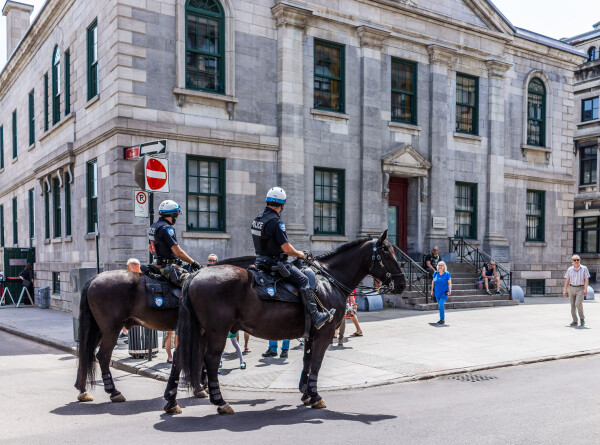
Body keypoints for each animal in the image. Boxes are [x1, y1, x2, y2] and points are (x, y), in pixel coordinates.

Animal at [166, 231, 406, 414]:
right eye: (387, 253)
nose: (402, 283)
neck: (329, 280)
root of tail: (195, 276)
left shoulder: (312, 334)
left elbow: (307, 361)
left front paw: (306, 393)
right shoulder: (325, 333)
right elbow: (316, 362)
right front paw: (315, 396)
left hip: (200, 330)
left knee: (179, 357)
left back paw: (171, 401)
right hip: (217, 331)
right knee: (211, 360)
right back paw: (220, 402)